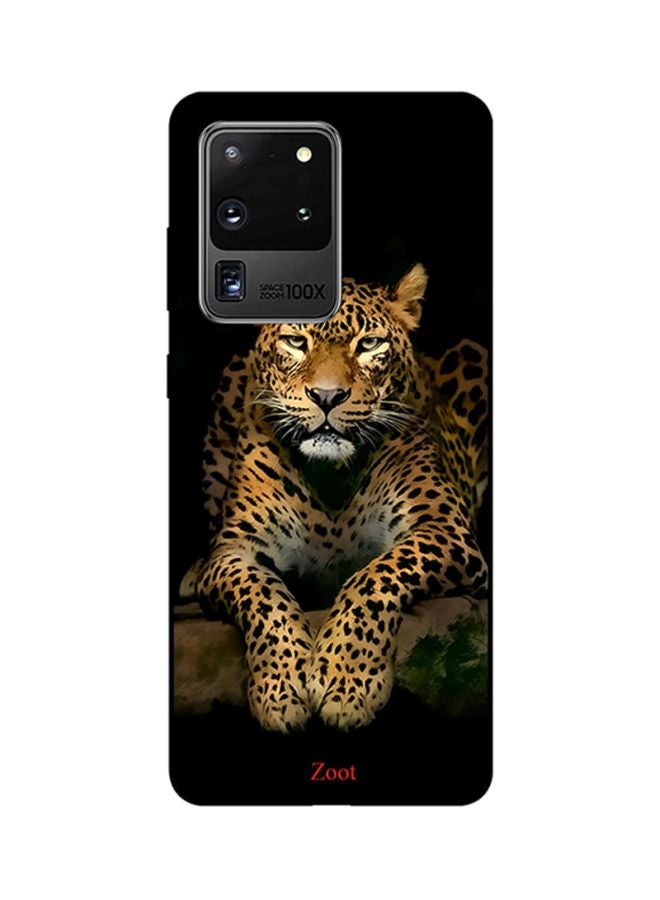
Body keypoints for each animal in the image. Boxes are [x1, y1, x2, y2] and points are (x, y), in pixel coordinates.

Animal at [180, 263, 488, 732]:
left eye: (369, 344)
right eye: (296, 341)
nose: (327, 397)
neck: (330, 477)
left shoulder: (444, 529)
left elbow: (374, 577)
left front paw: (347, 683)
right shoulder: (236, 550)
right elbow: (262, 595)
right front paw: (281, 687)